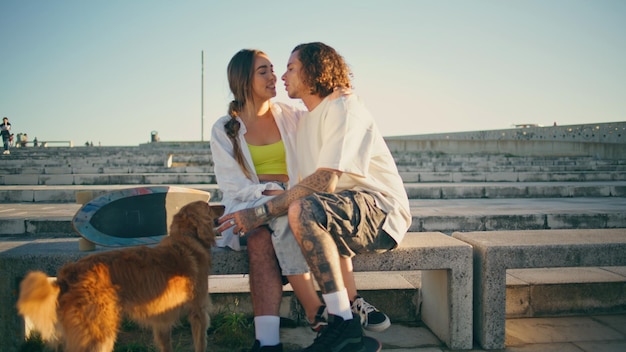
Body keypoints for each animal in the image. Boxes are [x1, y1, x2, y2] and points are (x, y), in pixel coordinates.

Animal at [16, 201, 224, 352]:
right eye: (208, 206)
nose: (223, 205)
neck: (186, 238)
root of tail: (67, 276)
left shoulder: (161, 319)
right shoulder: (198, 312)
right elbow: (200, 344)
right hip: (101, 334)